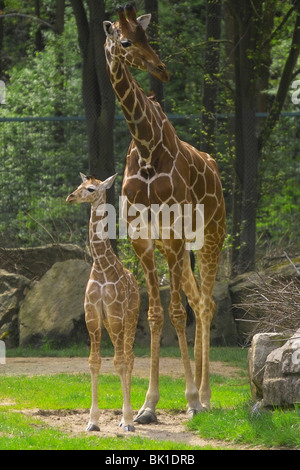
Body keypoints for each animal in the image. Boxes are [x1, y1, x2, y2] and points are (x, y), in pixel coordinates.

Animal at [65, 174, 139, 432]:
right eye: (79, 185)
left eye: (90, 189)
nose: (70, 197)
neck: (101, 267)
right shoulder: (93, 317)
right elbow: (94, 362)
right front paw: (92, 422)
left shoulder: (116, 315)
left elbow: (119, 362)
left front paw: (128, 420)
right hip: (110, 324)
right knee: (127, 356)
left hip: (131, 318)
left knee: (129, 356)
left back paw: (128, 419)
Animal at [103, 3, 225, 422]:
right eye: (125, 41)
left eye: (147, 37)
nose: (162, 69)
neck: (146, 147)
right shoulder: (144, 241)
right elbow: (156, 314)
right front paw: (147, 405)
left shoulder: (171, 236)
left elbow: (175, 314)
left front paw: (189, 398)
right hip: (183, 252)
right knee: (199, 301)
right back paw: (201, 394)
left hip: (211, 238)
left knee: (205, 303)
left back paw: (205, 397)